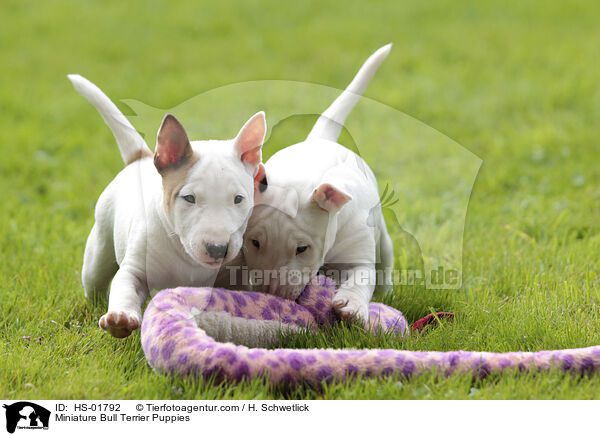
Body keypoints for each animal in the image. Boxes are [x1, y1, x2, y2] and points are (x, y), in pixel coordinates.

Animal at [68, 75, 264, 338]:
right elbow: (126, 285)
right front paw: (120, 319)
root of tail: (141, 157)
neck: (184, 255)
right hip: (98, 250)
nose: (217, 249)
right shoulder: (136, 268)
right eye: (189, 198)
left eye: (238, 199)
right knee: (94, 280)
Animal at [241, 45, 396, 324]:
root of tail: (320, 139)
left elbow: (361, 276)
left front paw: (352, 306)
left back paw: (387, 292)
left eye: (302, 249)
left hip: (382, 237)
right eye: (255, 242)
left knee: (385, 261)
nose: (272, 297)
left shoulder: (357, 249)